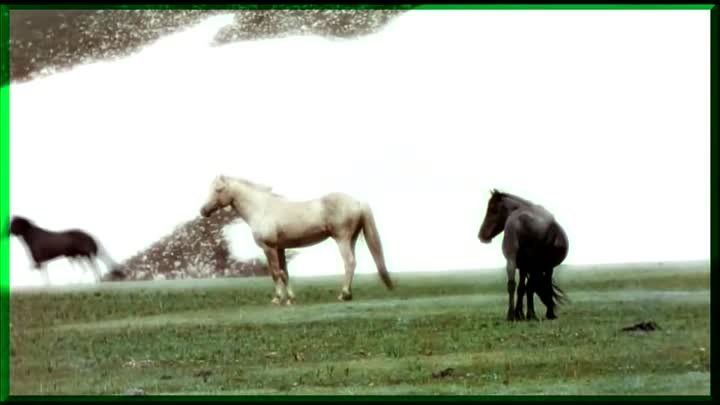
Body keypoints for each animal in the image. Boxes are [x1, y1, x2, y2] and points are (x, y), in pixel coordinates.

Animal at [201, 175, 394, 304]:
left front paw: (278, 299)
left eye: (218, 189)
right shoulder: (280, 248)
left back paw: (343, 294)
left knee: (349, 262)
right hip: (351, 239)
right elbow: (284, 273)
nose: (203, 211)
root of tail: (357, 202)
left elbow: (274, 272)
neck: (261, 209)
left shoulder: (269, 248)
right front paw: (290, 299)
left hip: (342, 239)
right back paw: (349, 294)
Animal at [478, 190, 568, 322]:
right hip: (533, 265)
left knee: (513, 285)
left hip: (513, 261)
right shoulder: (546, 267)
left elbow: (522, 288)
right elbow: (544, 285)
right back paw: (530, 314)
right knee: (529, 287)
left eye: (493, 210)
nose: (481, 235)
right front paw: (549, 313)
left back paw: (511, 315)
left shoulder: (523, 266)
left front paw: (519, 314)